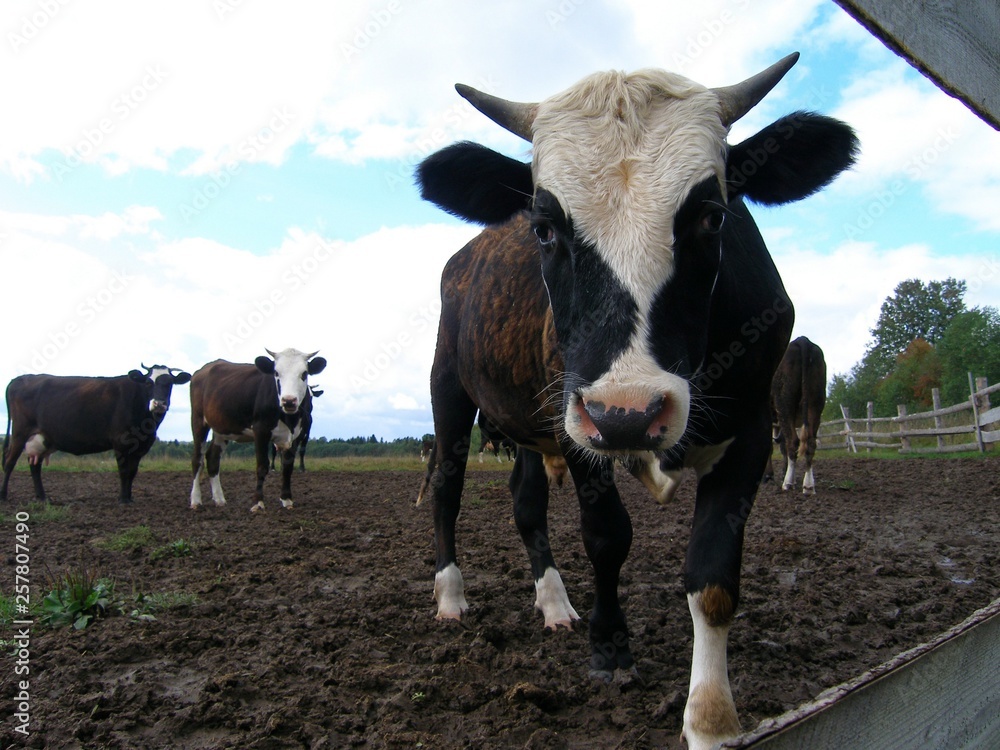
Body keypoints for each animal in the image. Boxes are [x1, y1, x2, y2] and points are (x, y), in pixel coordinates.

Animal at [1, 366, 191, 506]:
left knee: (35, 466)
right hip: (20, 433)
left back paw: (42, 497)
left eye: (170, 383)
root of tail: (20, 379)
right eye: (147, 382)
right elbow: (123, 471)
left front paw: (130, 497)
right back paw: (4, 496)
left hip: (41, 438)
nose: (159, 404)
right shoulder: (121, 442)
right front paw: (123, 500)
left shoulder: (141, 446)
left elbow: (132, 472)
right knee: (9, 462)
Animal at [189, 348, 326, 512]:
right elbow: (262, 466)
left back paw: (219, 499)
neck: (288, 418)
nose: (289, 401)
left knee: (213, 458)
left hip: (222, 428)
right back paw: (196, 500)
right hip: (198, 421)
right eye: (276, 373)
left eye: (304, 373)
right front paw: (258, 502)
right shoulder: (261, 431)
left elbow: (288, 467)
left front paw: (286, 499)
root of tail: (203, 370)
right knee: (197, 459)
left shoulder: (297, 435)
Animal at [764, 338, 828, 496]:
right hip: (815, 404)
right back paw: (808, 485)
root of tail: (803, 340)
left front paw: (769, 476)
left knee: (793, 442)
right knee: (809, 442)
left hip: (784, 404)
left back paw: (788, 483)